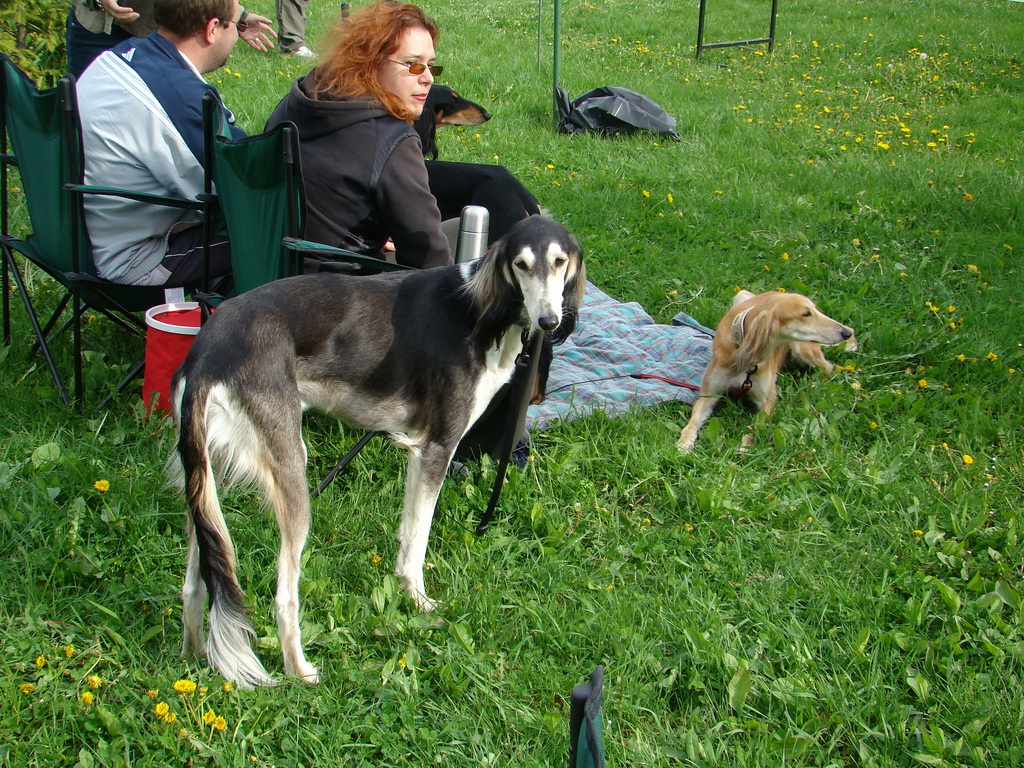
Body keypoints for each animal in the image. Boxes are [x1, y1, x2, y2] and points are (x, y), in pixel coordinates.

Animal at [171, 217, 581, 692]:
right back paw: (299, 671)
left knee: (197, 582)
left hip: (202, 479)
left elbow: (407, 534)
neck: (481, 311)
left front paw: (407, 594)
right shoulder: (438, 447)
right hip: (291, 469)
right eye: (521, 264)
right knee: (283, 597)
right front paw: (420, 603)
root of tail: (206, 353)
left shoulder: (418, 453)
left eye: (559, 261)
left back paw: (192, 660)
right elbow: (418, 541)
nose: (549, 320)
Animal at [679, 290, 856, 454]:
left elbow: (755, 426)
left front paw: (745, 445)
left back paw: (815, 384)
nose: (846, 333)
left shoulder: (767, 400)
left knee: (828, 367)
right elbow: (692, 422)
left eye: (814, 310)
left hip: (802, 348)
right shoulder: (709, 394)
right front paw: (684, 442)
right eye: (805, 313)